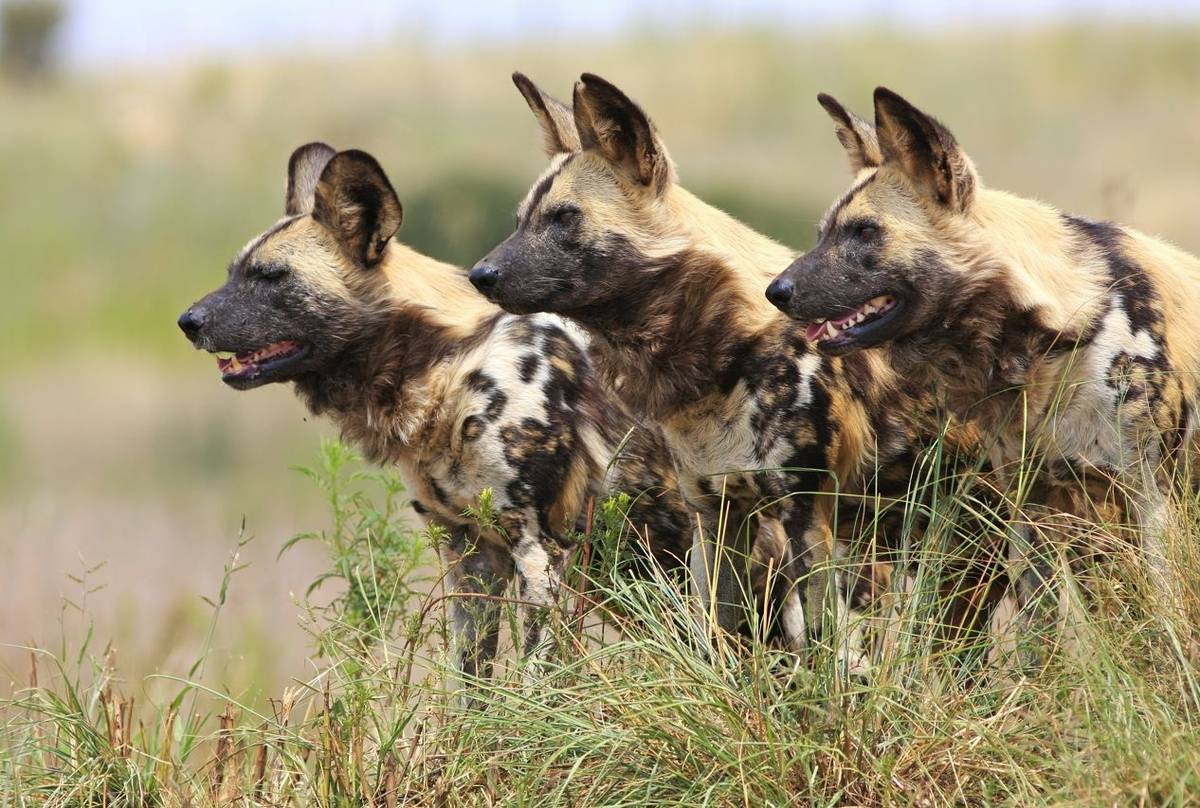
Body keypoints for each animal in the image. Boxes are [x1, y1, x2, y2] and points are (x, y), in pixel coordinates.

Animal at [175, 141, 696, 677]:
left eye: (272, 277)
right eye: (233, 273)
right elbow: (470, 681)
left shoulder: (542, 553)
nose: (187, 321)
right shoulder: (469, 556)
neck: (449, 368)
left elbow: (536, 682)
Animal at [468, 70, 984, 662]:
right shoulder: (714, 518)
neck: (725, 357)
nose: (480, 275)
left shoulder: (806, 517)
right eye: (521, 221)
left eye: (565, 218)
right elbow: (717, 638)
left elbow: (821, 646)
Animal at [768, 86, 1200, 619]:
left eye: (865, 231)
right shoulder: (1033, 507)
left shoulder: (1151, 498)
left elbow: (1162, 615)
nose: (775, 291)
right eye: (822, 234)